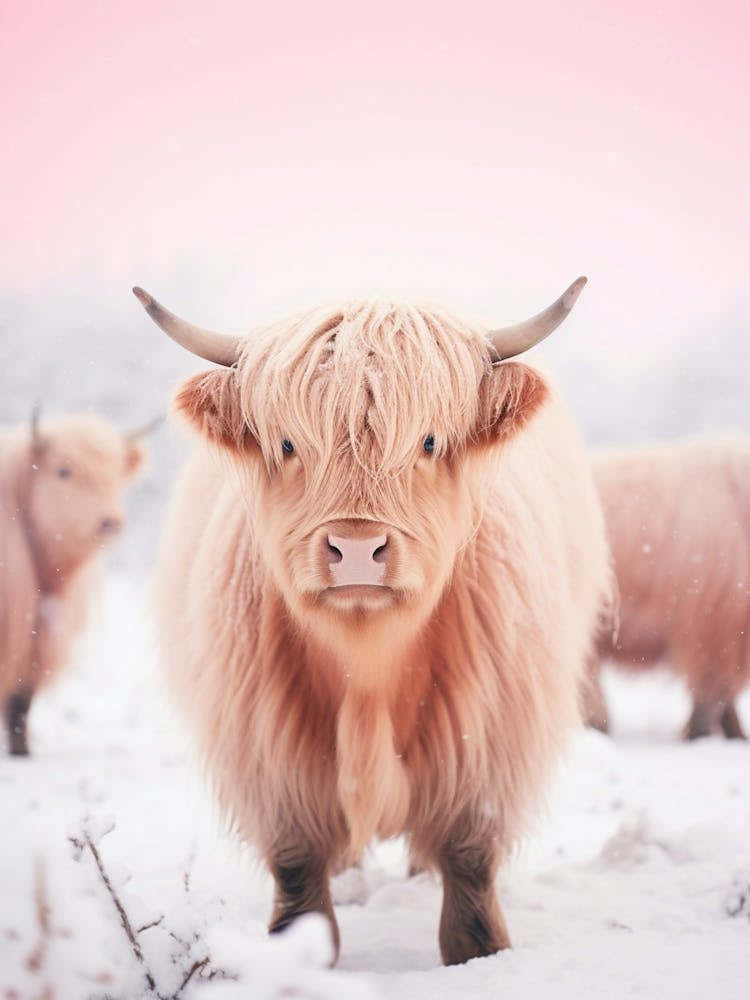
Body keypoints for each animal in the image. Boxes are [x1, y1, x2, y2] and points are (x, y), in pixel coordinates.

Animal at [0, 409, 149, 755]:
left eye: (116, 474)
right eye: (64, 470)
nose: (109, 521)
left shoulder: (36, 638)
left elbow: (20, 700)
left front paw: (21, 751)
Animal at [135, 278, 611, 966]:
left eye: (429, 441)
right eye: (288, 444)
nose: (356, 548)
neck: (368, 670)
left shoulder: (486, 747)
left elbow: (469, 871)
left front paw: (481, 955)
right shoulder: (270, 760)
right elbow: (299, 877)